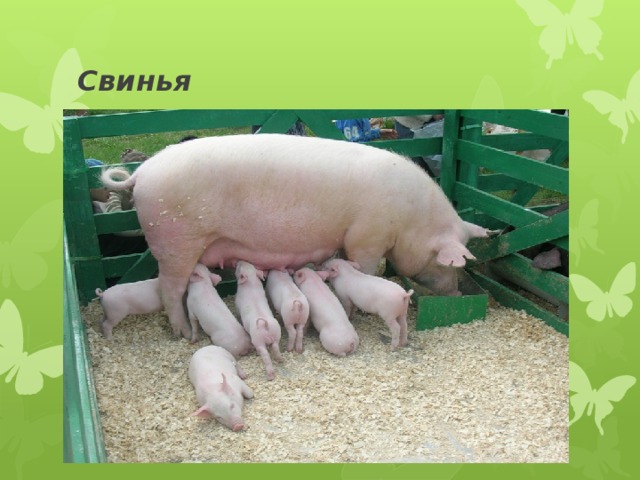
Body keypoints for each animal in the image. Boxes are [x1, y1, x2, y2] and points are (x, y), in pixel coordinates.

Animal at [100, 134, 492, 340]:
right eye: (450, 263)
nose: (459, 293)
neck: (412, 218)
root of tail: (143, 172)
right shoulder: (366, 236)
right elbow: (365, 269)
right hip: (175, 242)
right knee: (170, 289)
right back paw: (183, 334)